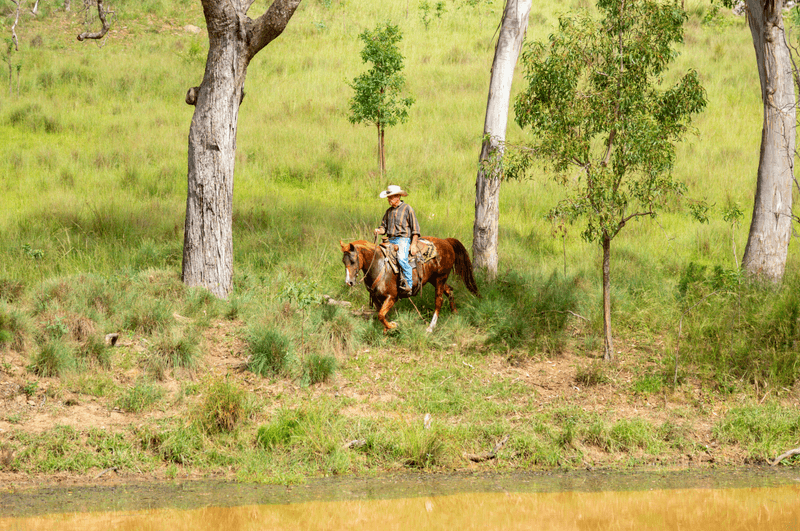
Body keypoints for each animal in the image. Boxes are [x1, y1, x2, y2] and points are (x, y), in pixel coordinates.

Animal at [340, 237, 478, 332]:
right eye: (343, 261)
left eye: (352, 261)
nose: (349, 282)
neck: (379, 266)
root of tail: (446, 241)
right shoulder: (376, 298)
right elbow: (382, 315)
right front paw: (387, 329)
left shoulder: (392, 297)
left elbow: (381, 315)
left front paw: (393, 325)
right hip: (434, 279)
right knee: (449, 290)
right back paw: (454, 313)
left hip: (440, 278)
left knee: (439, 300)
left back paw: (431, 327)